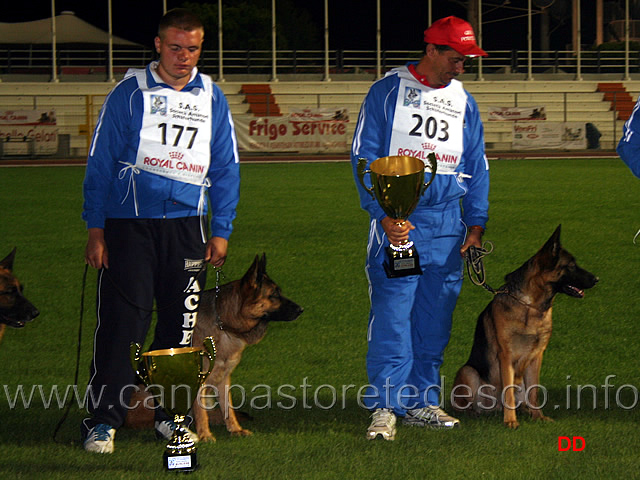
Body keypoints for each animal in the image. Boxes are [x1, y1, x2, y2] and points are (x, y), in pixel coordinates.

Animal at [452, 227, 596, 430]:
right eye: (571, 266)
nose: (597, 279)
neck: (531, 305)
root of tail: (493, 408)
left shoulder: (537, 356)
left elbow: (534, 391)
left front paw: (538, 417)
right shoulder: (506, 356)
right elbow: (508, 393)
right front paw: (511, 421)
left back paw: (525, 410)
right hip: (468, 372)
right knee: (466, 405)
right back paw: (475, 413)